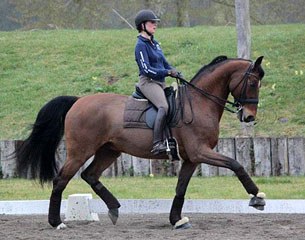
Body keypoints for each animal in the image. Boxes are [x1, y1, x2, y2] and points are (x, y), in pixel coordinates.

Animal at [16, 55, 264, 230]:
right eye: (252, 82)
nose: (249, 117)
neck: (199, 102)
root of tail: (78, 102)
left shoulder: (192, 158)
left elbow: (181, 188)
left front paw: (176, 220)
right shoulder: (200, 152)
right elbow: (236, 164)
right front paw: (257, 197)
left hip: (109, 151)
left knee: (90, 175)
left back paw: (114, 209)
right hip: (80, 151)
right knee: (61, 180)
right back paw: (56, 222)